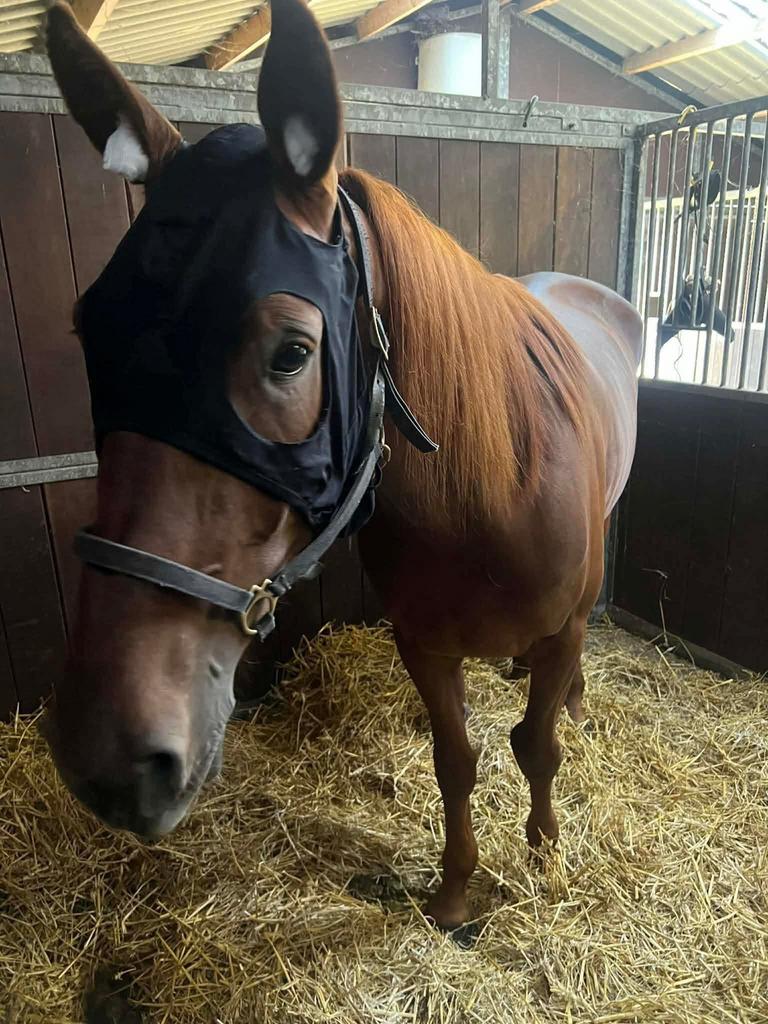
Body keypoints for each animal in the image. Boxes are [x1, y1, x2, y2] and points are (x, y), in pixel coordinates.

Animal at [42, 0, 641, 931]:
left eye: (291, 352)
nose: (107, 757)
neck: (490, 493)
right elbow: (456, 760)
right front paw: (456, 891)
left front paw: (544, 857)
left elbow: (535, 747)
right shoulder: (423, 643)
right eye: (89, 328)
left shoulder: (563, 626)